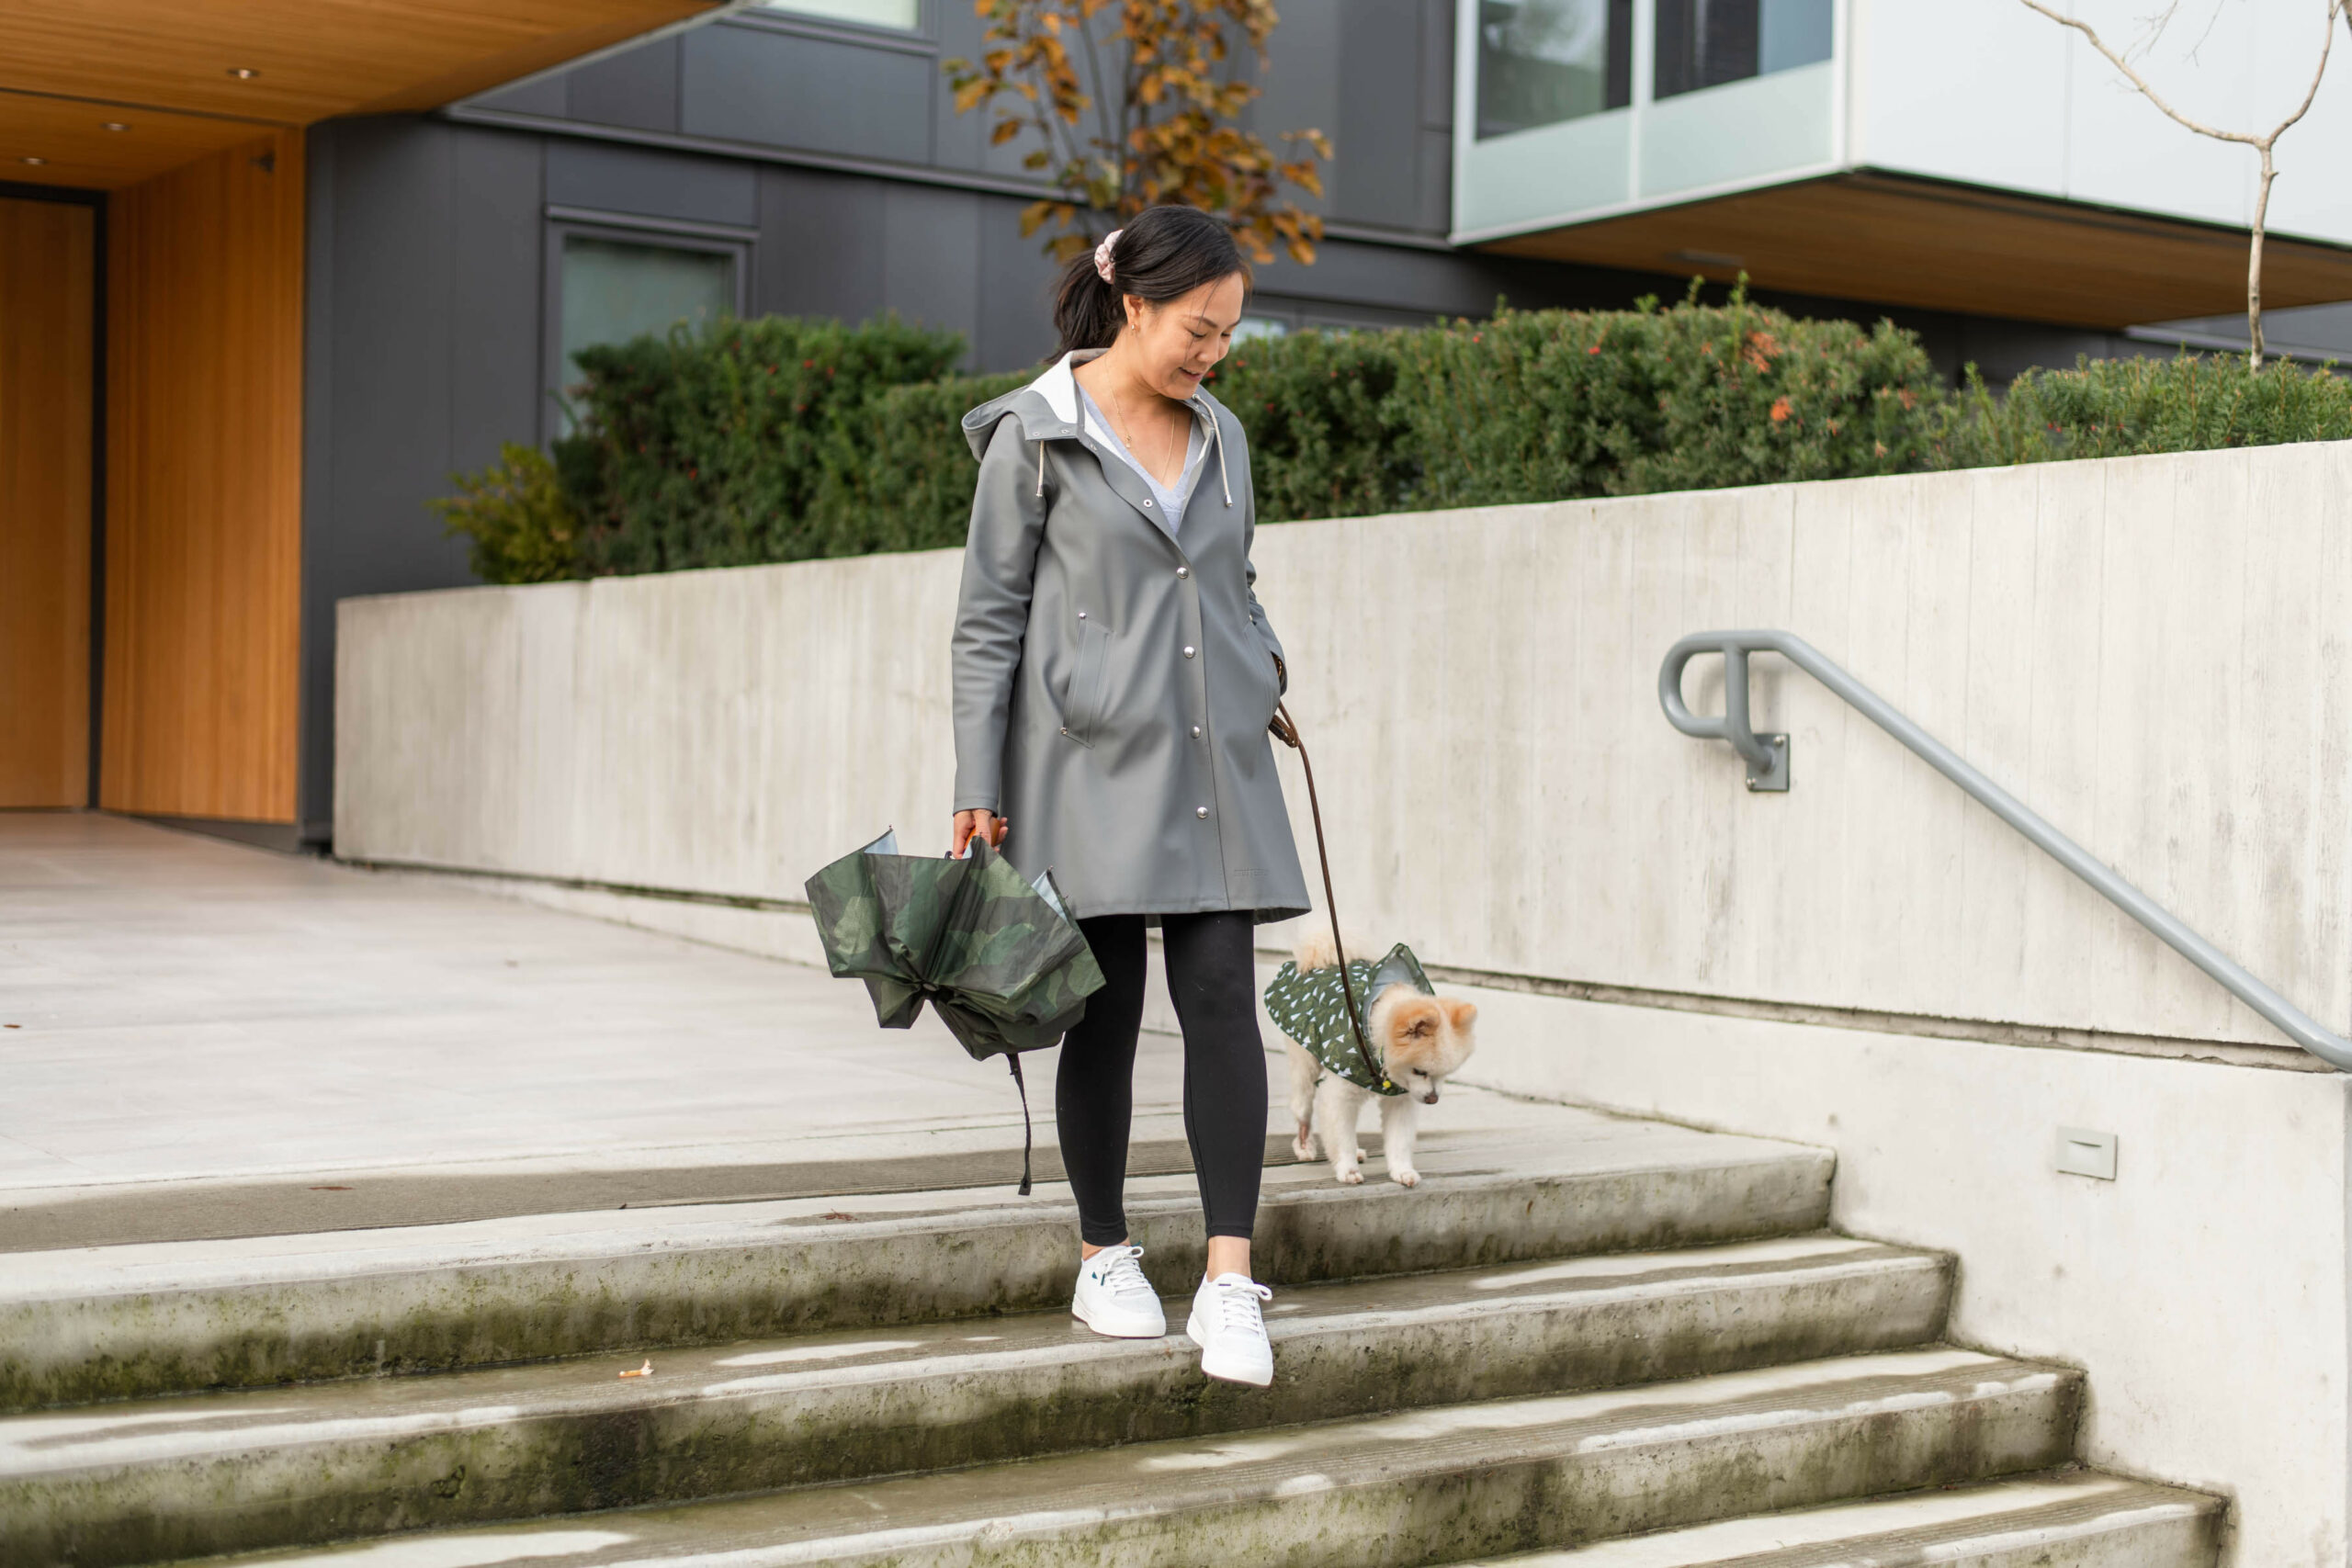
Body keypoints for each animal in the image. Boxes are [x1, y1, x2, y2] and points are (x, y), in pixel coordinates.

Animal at [1279, 931, 1476, 1189]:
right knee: (1302, 1110)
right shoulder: (1340, 1097)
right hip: (1305, 1068)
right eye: (1419, 1071)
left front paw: (1402, 1171)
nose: (1433, 1099)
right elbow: (1341, 1136)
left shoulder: (1402, 1100)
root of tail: (1318, 960)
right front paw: (1347, 1169)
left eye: (1445, 1075)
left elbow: (1399, 1141)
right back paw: (1304, 1145)